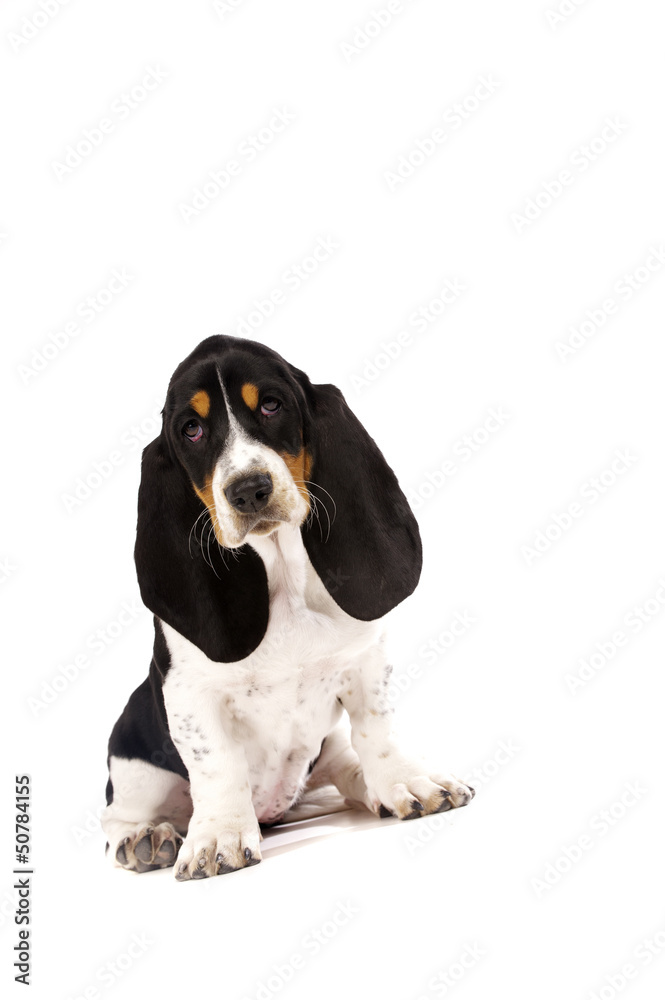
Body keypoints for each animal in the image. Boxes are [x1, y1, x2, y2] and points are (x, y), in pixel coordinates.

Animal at [101, 338, 472, 884]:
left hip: (324, 751)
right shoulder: (190, 694)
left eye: (272, 405)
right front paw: (218, 838)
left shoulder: (365, 661)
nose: (248, 490)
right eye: (191, 429)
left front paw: (408, 782)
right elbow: (217, 765)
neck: (284, 580)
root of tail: (276, 812)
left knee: (346, 768)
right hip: (133, 754)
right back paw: (148, 838)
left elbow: (377, 730)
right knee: (119, 817)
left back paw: (372, 790)